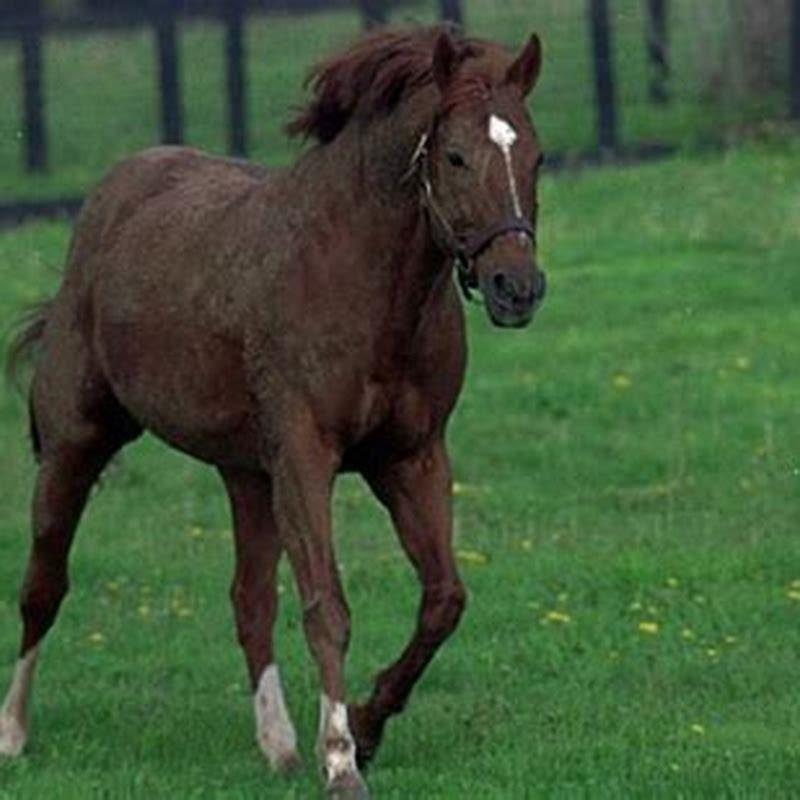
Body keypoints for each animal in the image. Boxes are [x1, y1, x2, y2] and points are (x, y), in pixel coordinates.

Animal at [0, 25, 544, 800]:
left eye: (535, 155)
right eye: (456, 156)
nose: (516, 288)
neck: (356, 276)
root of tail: (111, 198)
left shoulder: (412, 458)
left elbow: (443, 599)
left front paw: (364, 728)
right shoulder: (306, 457)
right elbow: (326, 606)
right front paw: (342, 761)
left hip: (246, 474)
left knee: (249, 599)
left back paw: (280, 746)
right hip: (75, 445)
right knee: (42, 584)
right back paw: (14, 733)